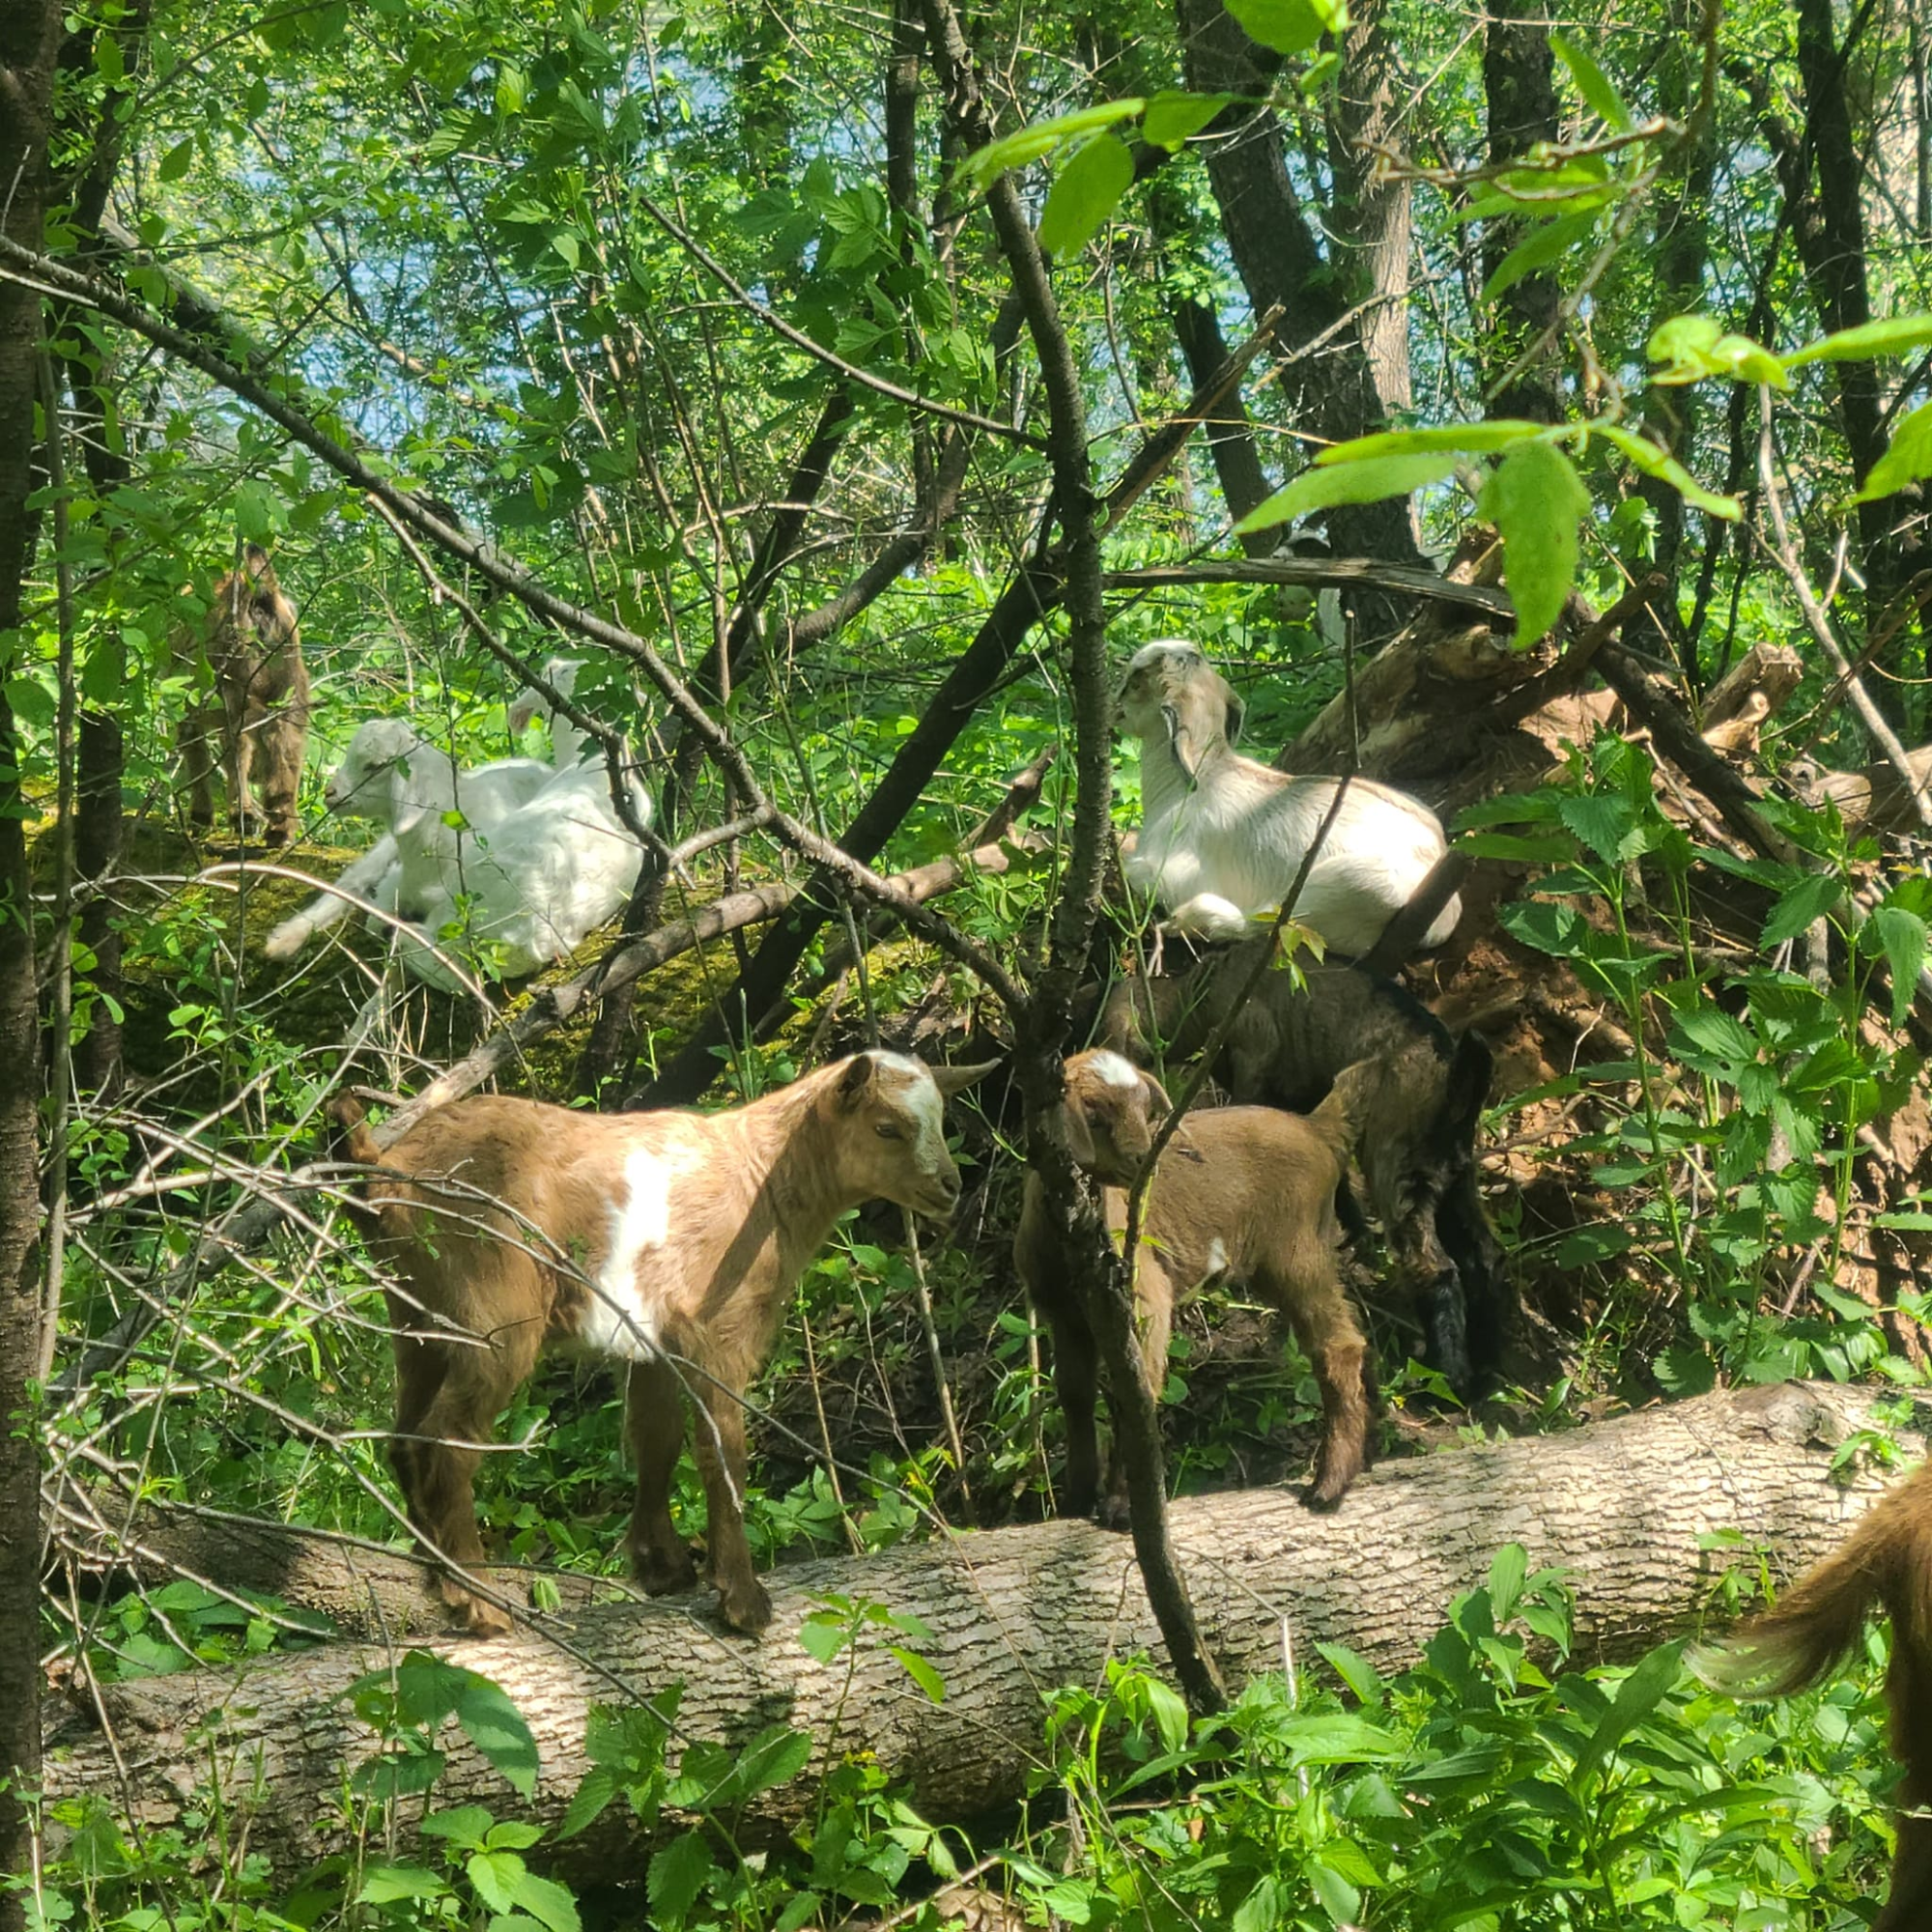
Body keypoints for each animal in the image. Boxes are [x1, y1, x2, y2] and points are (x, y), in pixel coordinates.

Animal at [175, 544, 310, 847]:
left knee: (240, 743)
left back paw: (245, 815)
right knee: (283, 740)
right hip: (289, 675)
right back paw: (279, 827)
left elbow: (198, 750)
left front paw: (202, 816)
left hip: (226, 679)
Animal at [330, 1051, 994, 1636]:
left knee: (405, 1439)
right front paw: (743, 1602)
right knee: (448, 1441)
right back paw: (480, 1604)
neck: (764, 1179)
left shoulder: (653, 1336)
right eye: (887, 1127)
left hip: (417, 1313)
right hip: (493, 1308)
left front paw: (663, 1567)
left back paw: (439, 1582)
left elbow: (656, 1436)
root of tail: (384, 1173)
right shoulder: (720, 1330)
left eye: (941, 1120)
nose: (950, 1186)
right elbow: (723, 1451)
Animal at [1014, 1048, 1376, 1527]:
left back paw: (1330, 1485)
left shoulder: (1143, 1296)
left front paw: (1121, 1505)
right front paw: (1077, 1498)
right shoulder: (1064, 1314)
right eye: (1092, 1113)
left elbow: (1137, 1392)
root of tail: (1316, 1128)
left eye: (1144, 1109)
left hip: (1295, 1249)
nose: (1145, 1159)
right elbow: (1075, 1396)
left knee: (1337, 1346)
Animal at [1096, 943, 1507, 1396]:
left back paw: (1451, 1377)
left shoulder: (1254, 1053)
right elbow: (1336, 1175)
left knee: (1435, 1265)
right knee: (1485, 1254)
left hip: (1398, 1161)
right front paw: (1357, 1235)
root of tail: (1456, 1071)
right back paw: (1488, 1366)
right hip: (1451, 1173)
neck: (1199, 989)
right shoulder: (1307, 1105)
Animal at [1117, 640, 1459, 958]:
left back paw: (1189, 921)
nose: (1116, 705)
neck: (1197, 778)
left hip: (1360, 884)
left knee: (1270, 924)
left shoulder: (1170, 874)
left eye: (1136, 679)